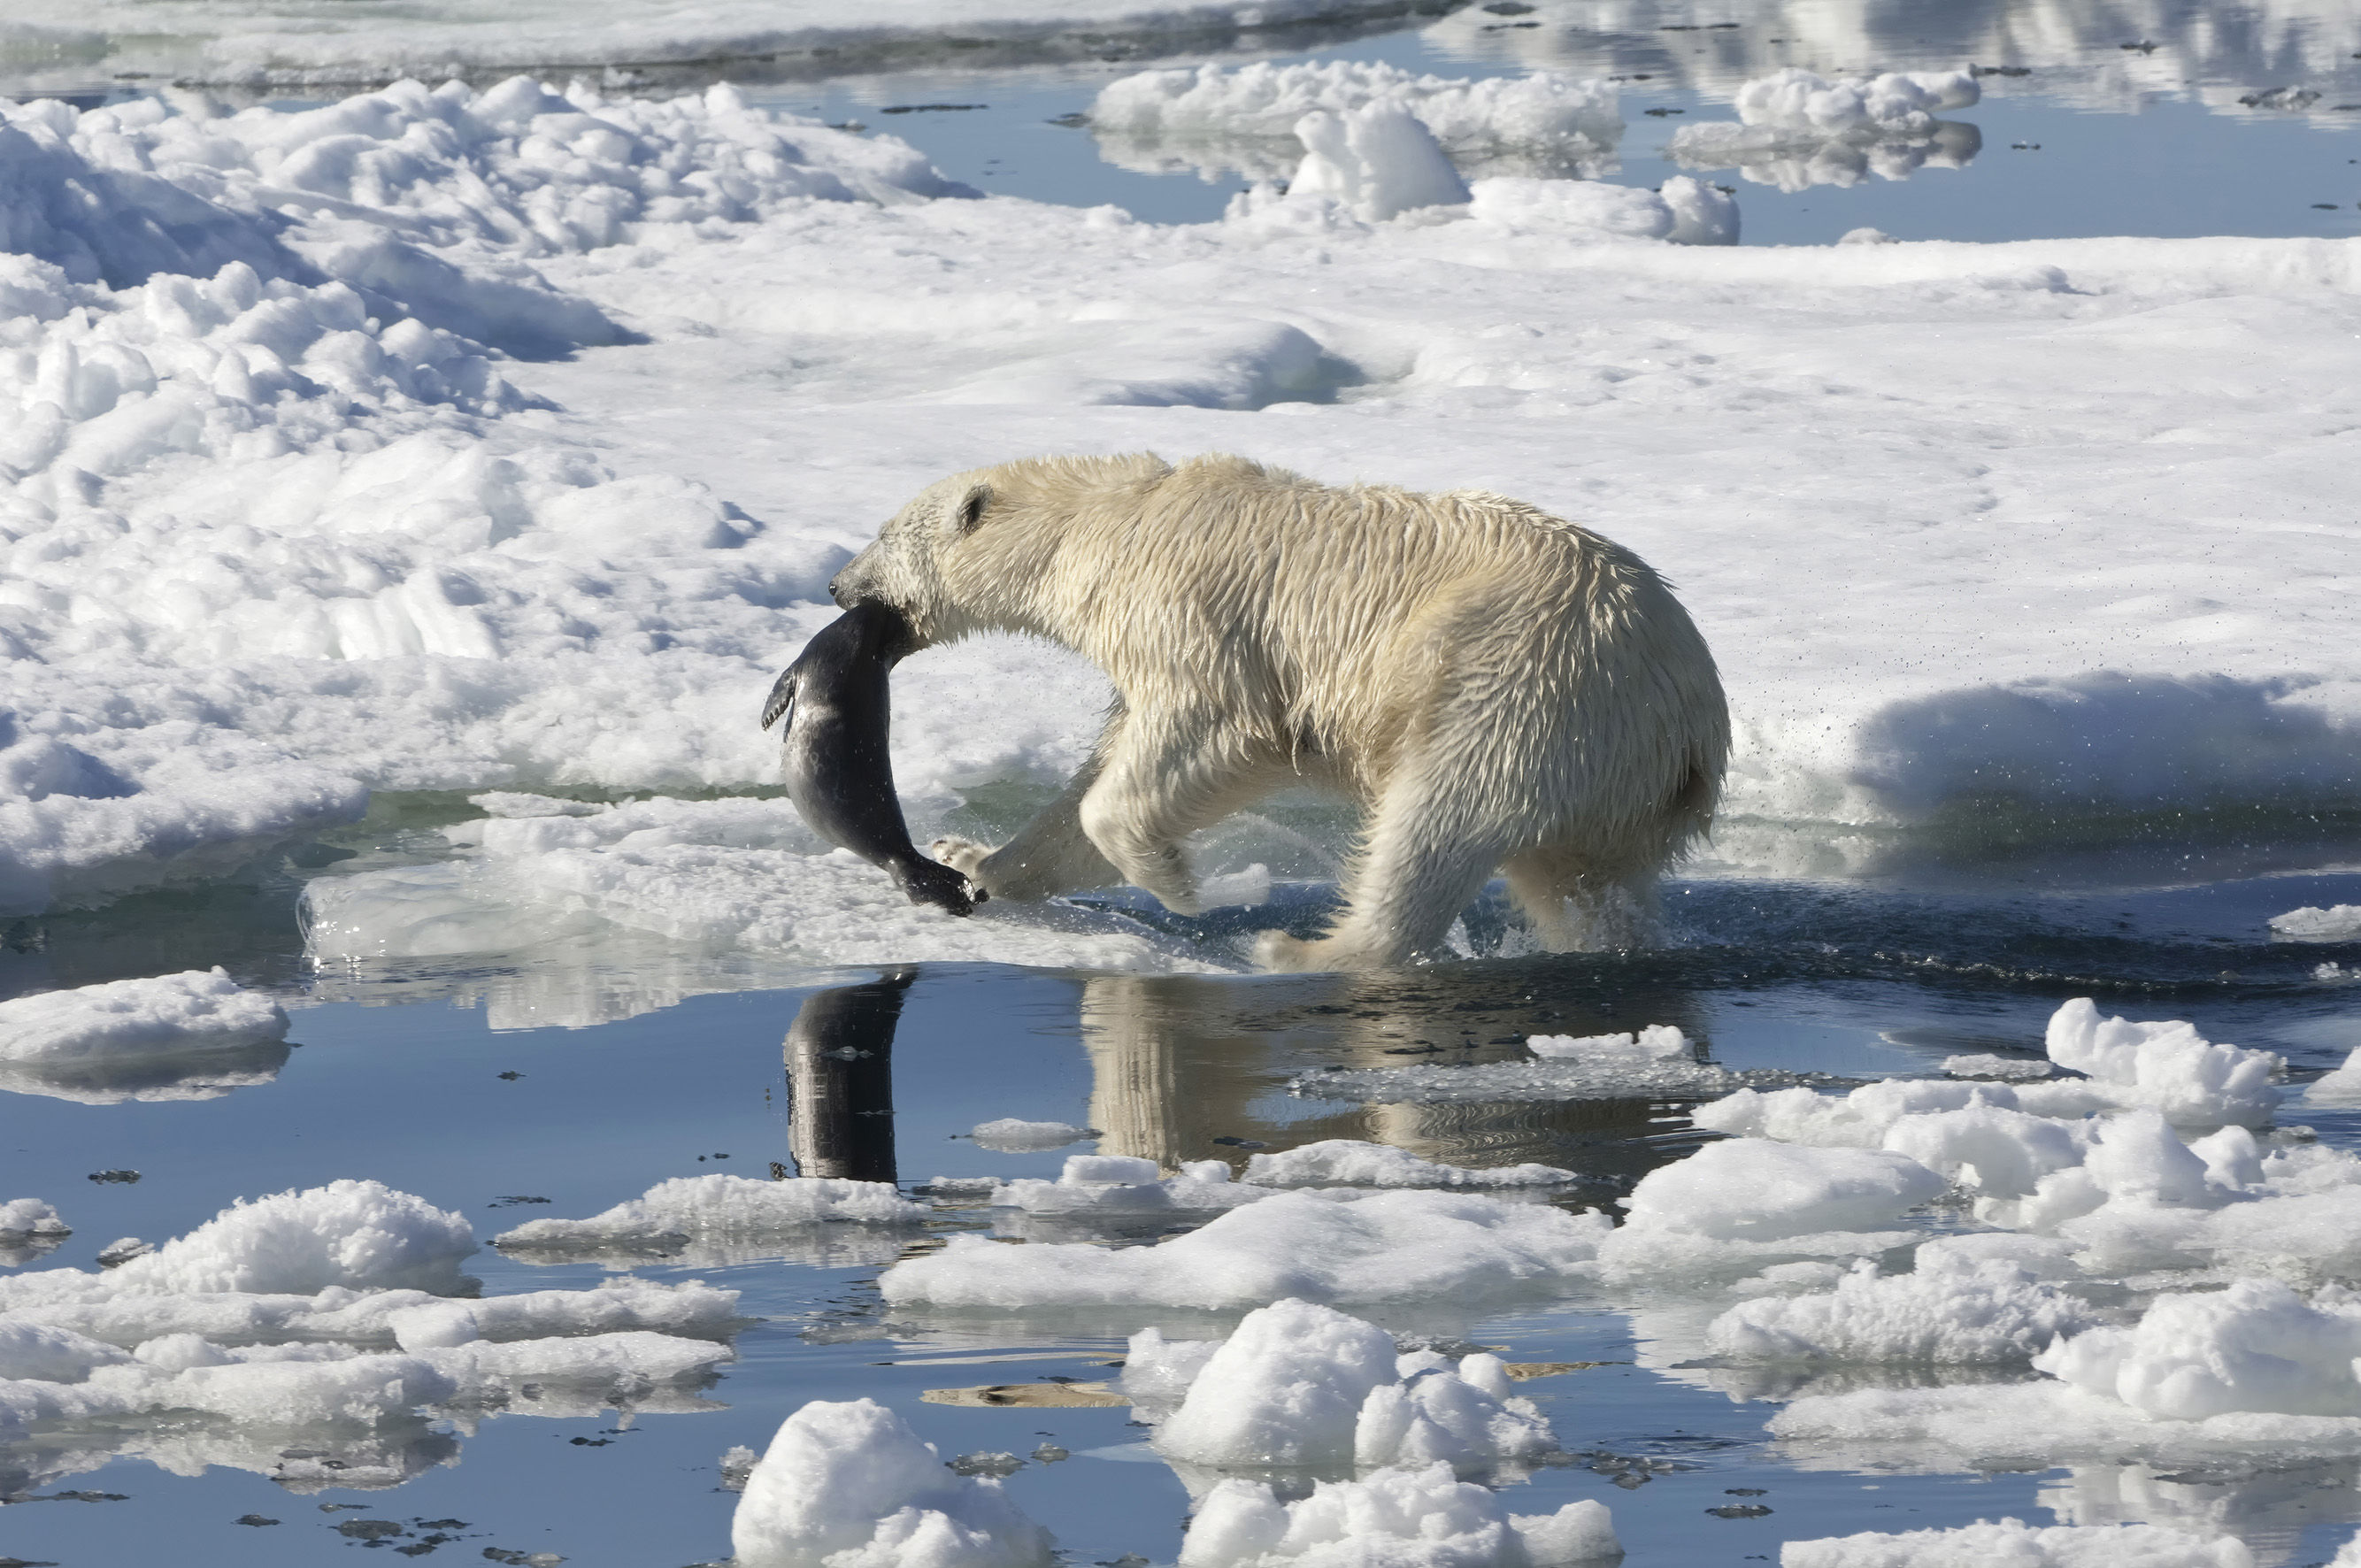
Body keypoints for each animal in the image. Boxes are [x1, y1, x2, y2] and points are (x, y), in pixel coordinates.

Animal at [825, 452, 1728, 971]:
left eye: (883, 531)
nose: (836, 584)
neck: (1112, 521)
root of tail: (1688, 718)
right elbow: (1101, 770)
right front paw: (974, 858)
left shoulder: (1193, 616)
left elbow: (1196, 736)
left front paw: (1177, 883)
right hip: (1611, 778)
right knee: (1582, 881)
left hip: (1516, 682)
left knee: (1441, 815)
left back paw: (1300, 949)